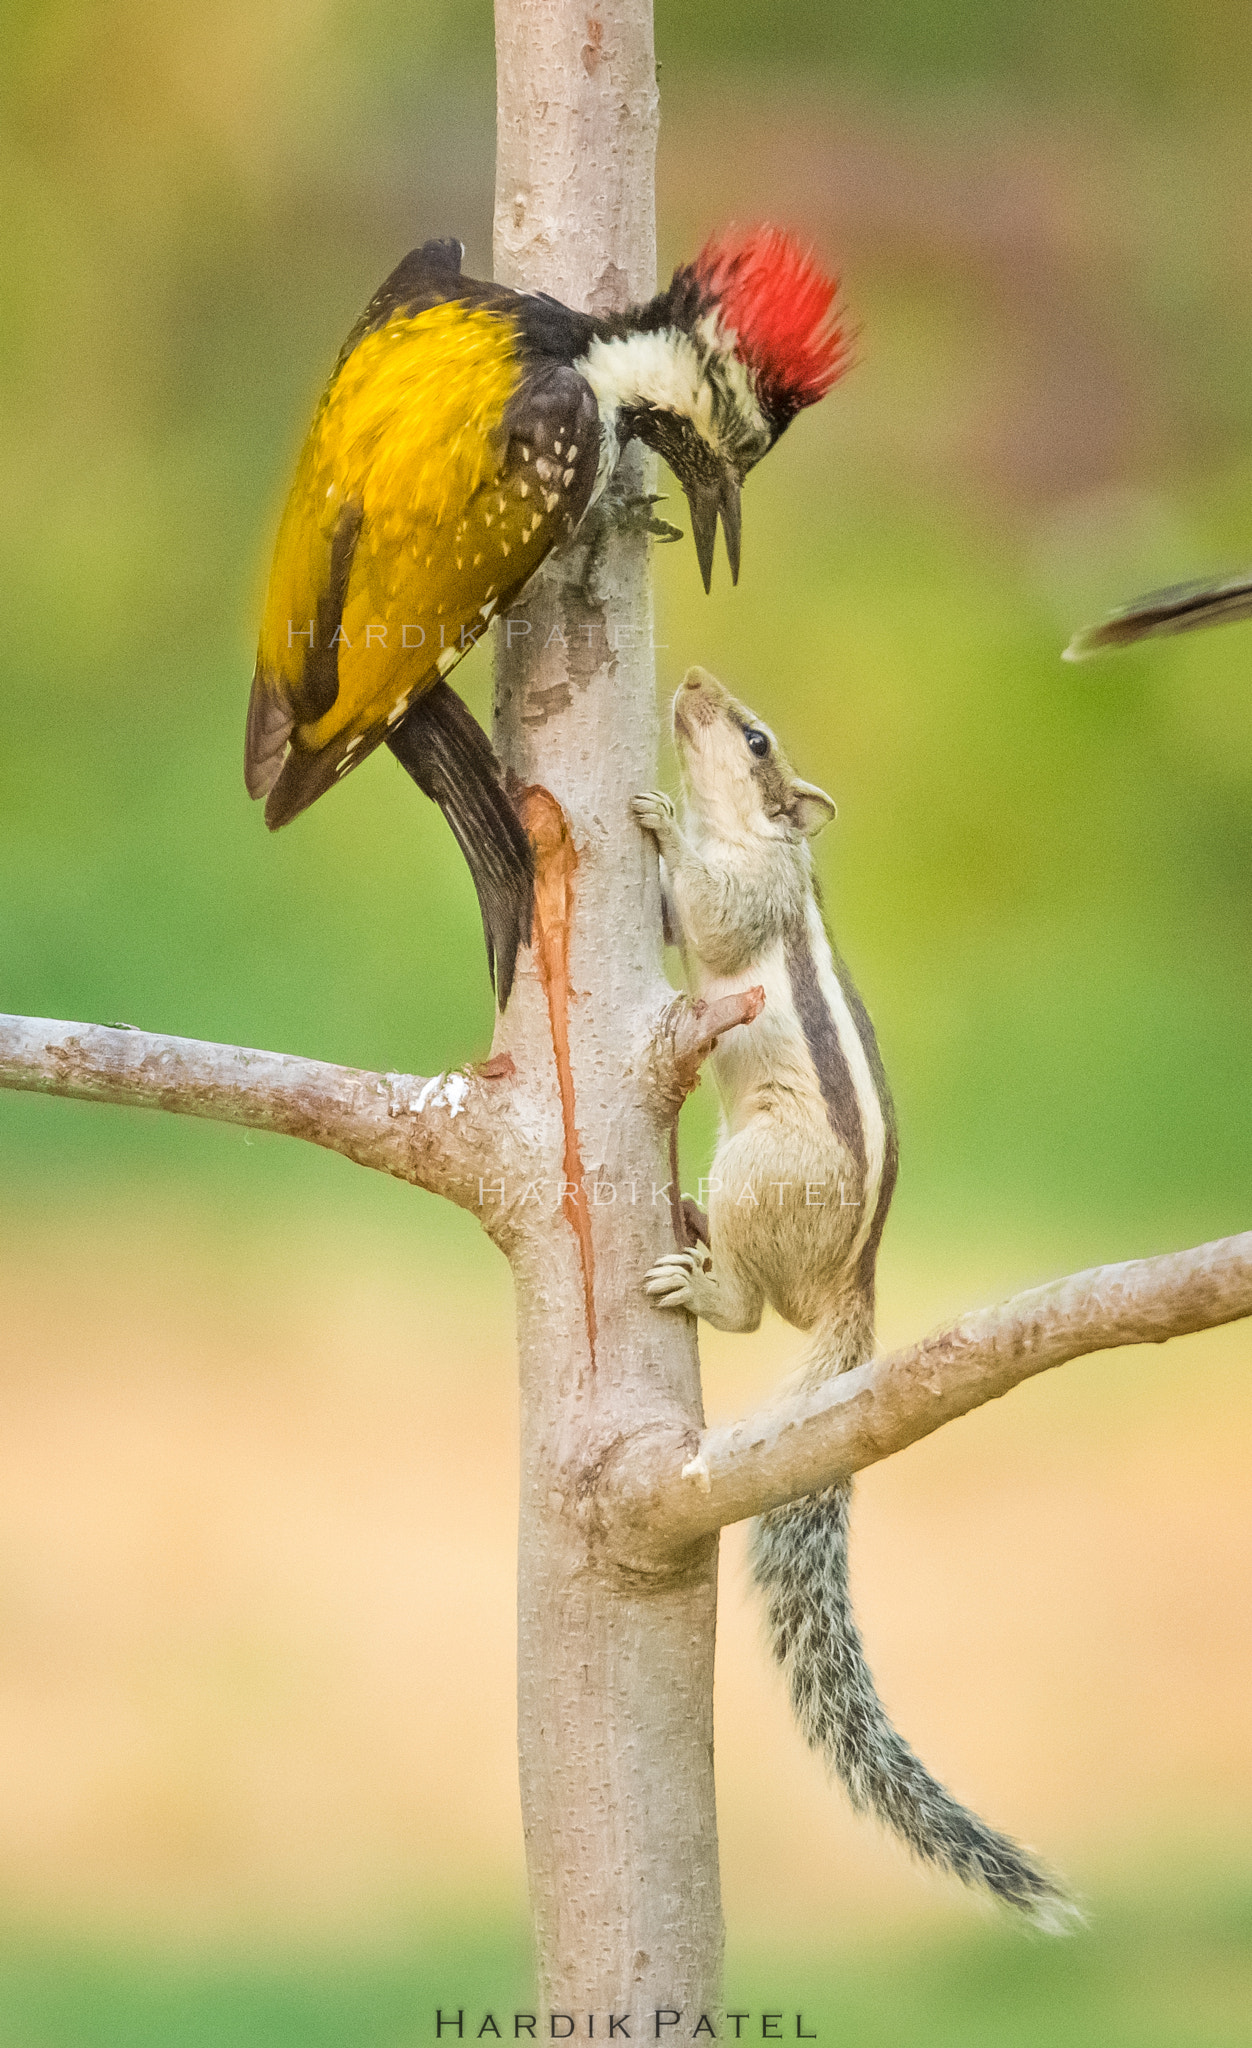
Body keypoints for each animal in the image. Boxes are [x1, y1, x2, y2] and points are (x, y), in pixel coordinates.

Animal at [632, 665, 1074, 1928]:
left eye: (755, 737)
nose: (690, 677)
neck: (763, 834)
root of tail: (852, 1284)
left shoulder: (756, 894)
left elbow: (714, 913)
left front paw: (661, 819)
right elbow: (681, 928)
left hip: (761, 1169)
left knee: (750, 1309)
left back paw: (702, 1273)